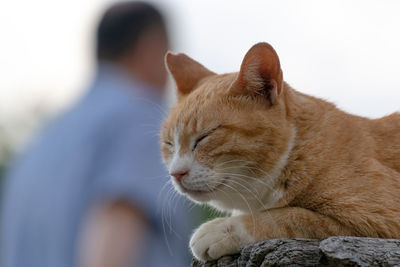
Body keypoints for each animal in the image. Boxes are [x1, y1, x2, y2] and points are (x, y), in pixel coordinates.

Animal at [160, 43, 400, 262]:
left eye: (205, 136)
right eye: (169, 144)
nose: (176, 173)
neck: (299, 151)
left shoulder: (381, 220)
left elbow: (290, 216)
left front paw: (223, 229)